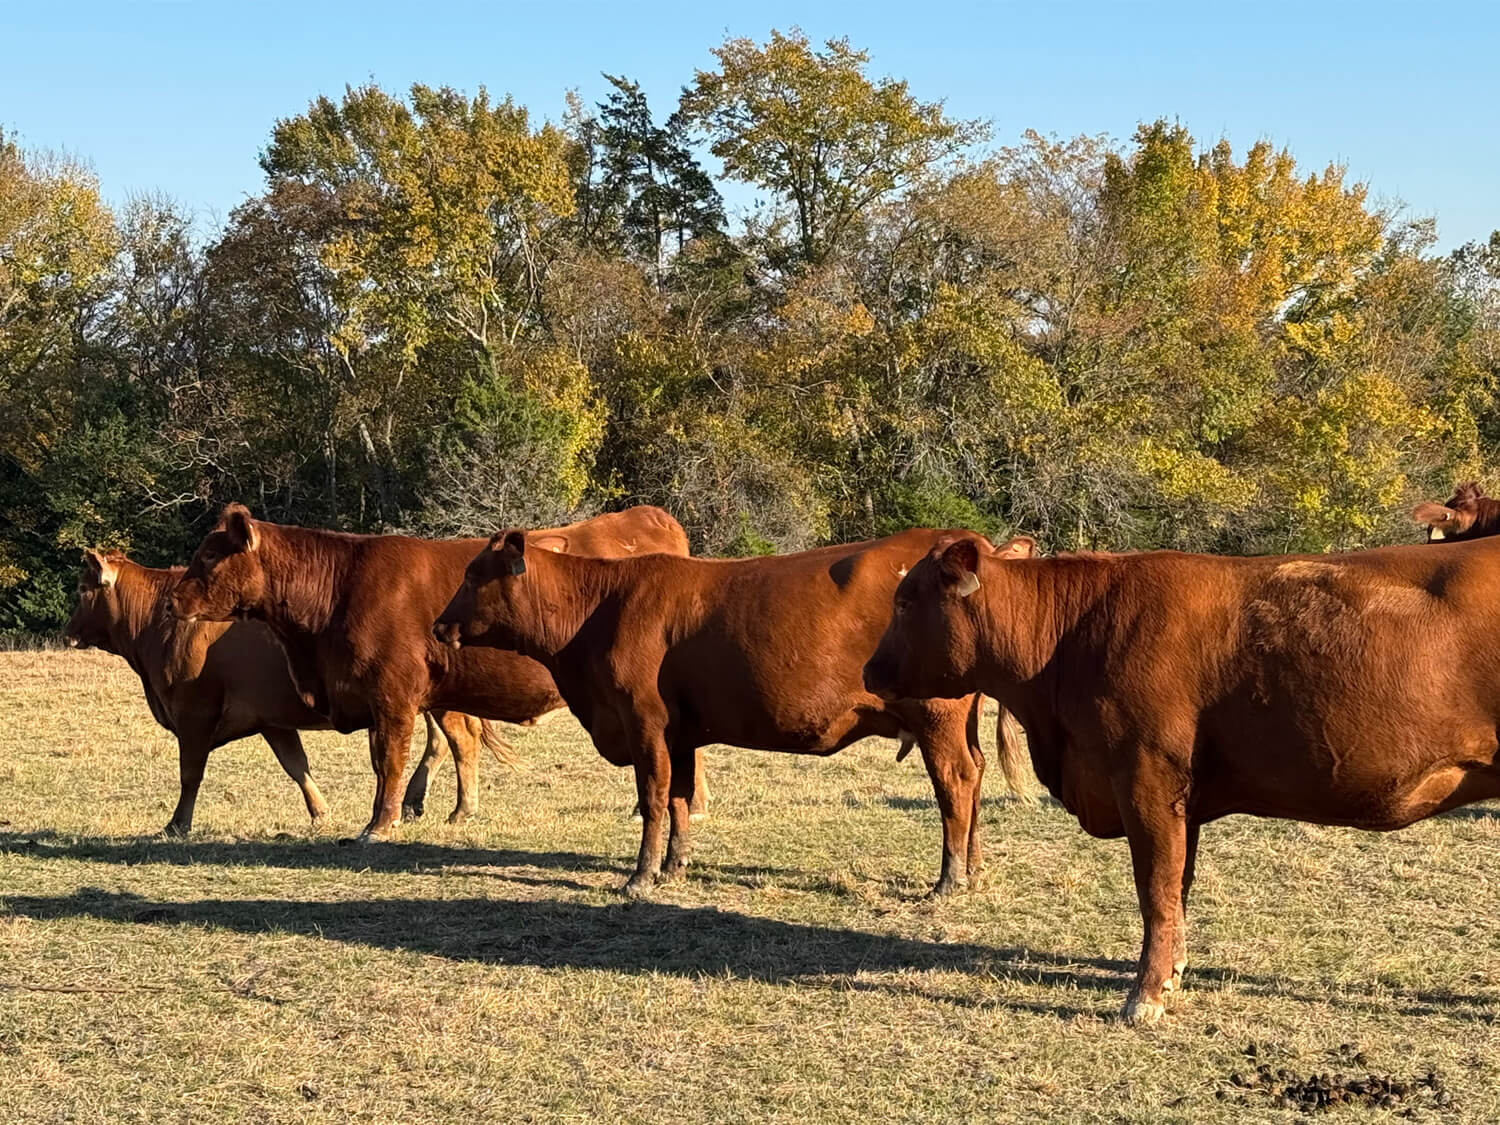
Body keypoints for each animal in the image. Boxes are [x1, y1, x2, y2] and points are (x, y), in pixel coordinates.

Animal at [64, 549, 503, 833]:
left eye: (83, 589)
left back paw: (460, 810)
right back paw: (420, 803)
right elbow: (297, 766)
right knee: (444, 742)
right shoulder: (271, 720)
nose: (68, 632)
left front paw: (176, 824)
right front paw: (321, 813)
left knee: (460, 741)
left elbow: (190, 773)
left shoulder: (194, 712)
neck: (160, 623)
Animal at [432, 528, 1038, 898]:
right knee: (976, 774)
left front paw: (640, 876)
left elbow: (653, 797)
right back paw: (974, 867)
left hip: (938, 717)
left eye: (472, 576)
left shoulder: (643, 720)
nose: (438, 625)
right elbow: (679, 798)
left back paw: (949, 877)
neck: (602, 607)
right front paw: (673, 866)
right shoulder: (679, 732)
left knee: (955, 782)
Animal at [862, 532, 1500, 1024]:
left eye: (904, 601)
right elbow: (1179, 885)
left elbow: (1157, 888)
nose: (868, 671)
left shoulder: (1145, 776)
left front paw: (1143, 998)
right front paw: (1171, 974)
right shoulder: (1180, 798)